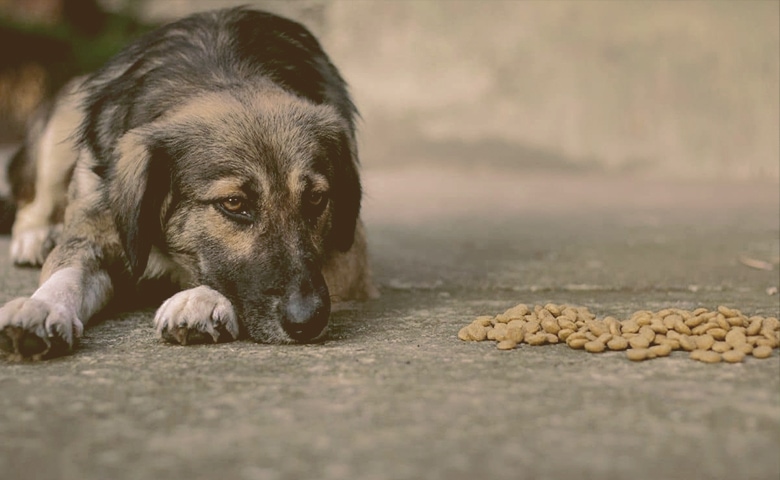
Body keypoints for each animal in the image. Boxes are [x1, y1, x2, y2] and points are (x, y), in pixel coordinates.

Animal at [0, 6, 378, 360]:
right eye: (234, 204)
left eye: (315, 199)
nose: (308, 321)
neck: (223, 72)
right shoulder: (93, 229)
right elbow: (65, 274)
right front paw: (43, 306)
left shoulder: (350, 257)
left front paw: (201, 298)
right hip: (62, 126)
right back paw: (35, 236)